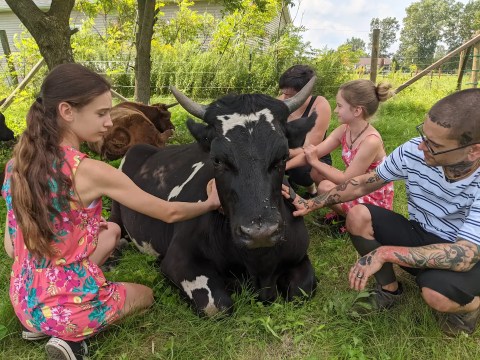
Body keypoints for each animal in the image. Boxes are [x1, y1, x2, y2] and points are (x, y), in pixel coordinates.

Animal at [109, 79, 318, 316]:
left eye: (284, 156)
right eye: (217, 160)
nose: (260, 233)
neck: (259, 266)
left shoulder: (299, 256)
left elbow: (301, 292)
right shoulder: (179, 259)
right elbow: (217, 306)